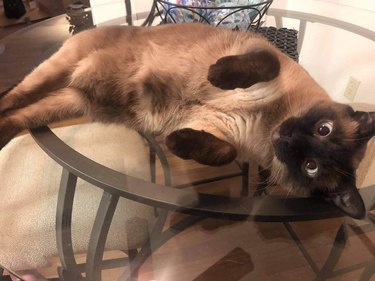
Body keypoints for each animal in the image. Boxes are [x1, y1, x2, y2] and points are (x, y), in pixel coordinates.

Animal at [0, 23, 375, 218]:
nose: (287, 138)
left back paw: (2, 132)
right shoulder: (263, 55)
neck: (266, 121)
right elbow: (261, 64)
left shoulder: (214, 132)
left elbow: (221, 152)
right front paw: (216, 74)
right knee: (13, 97)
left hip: (65, 104)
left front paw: (174, 142)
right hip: (55, 71)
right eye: (323, 129)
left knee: (17, 116)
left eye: (311, 166)